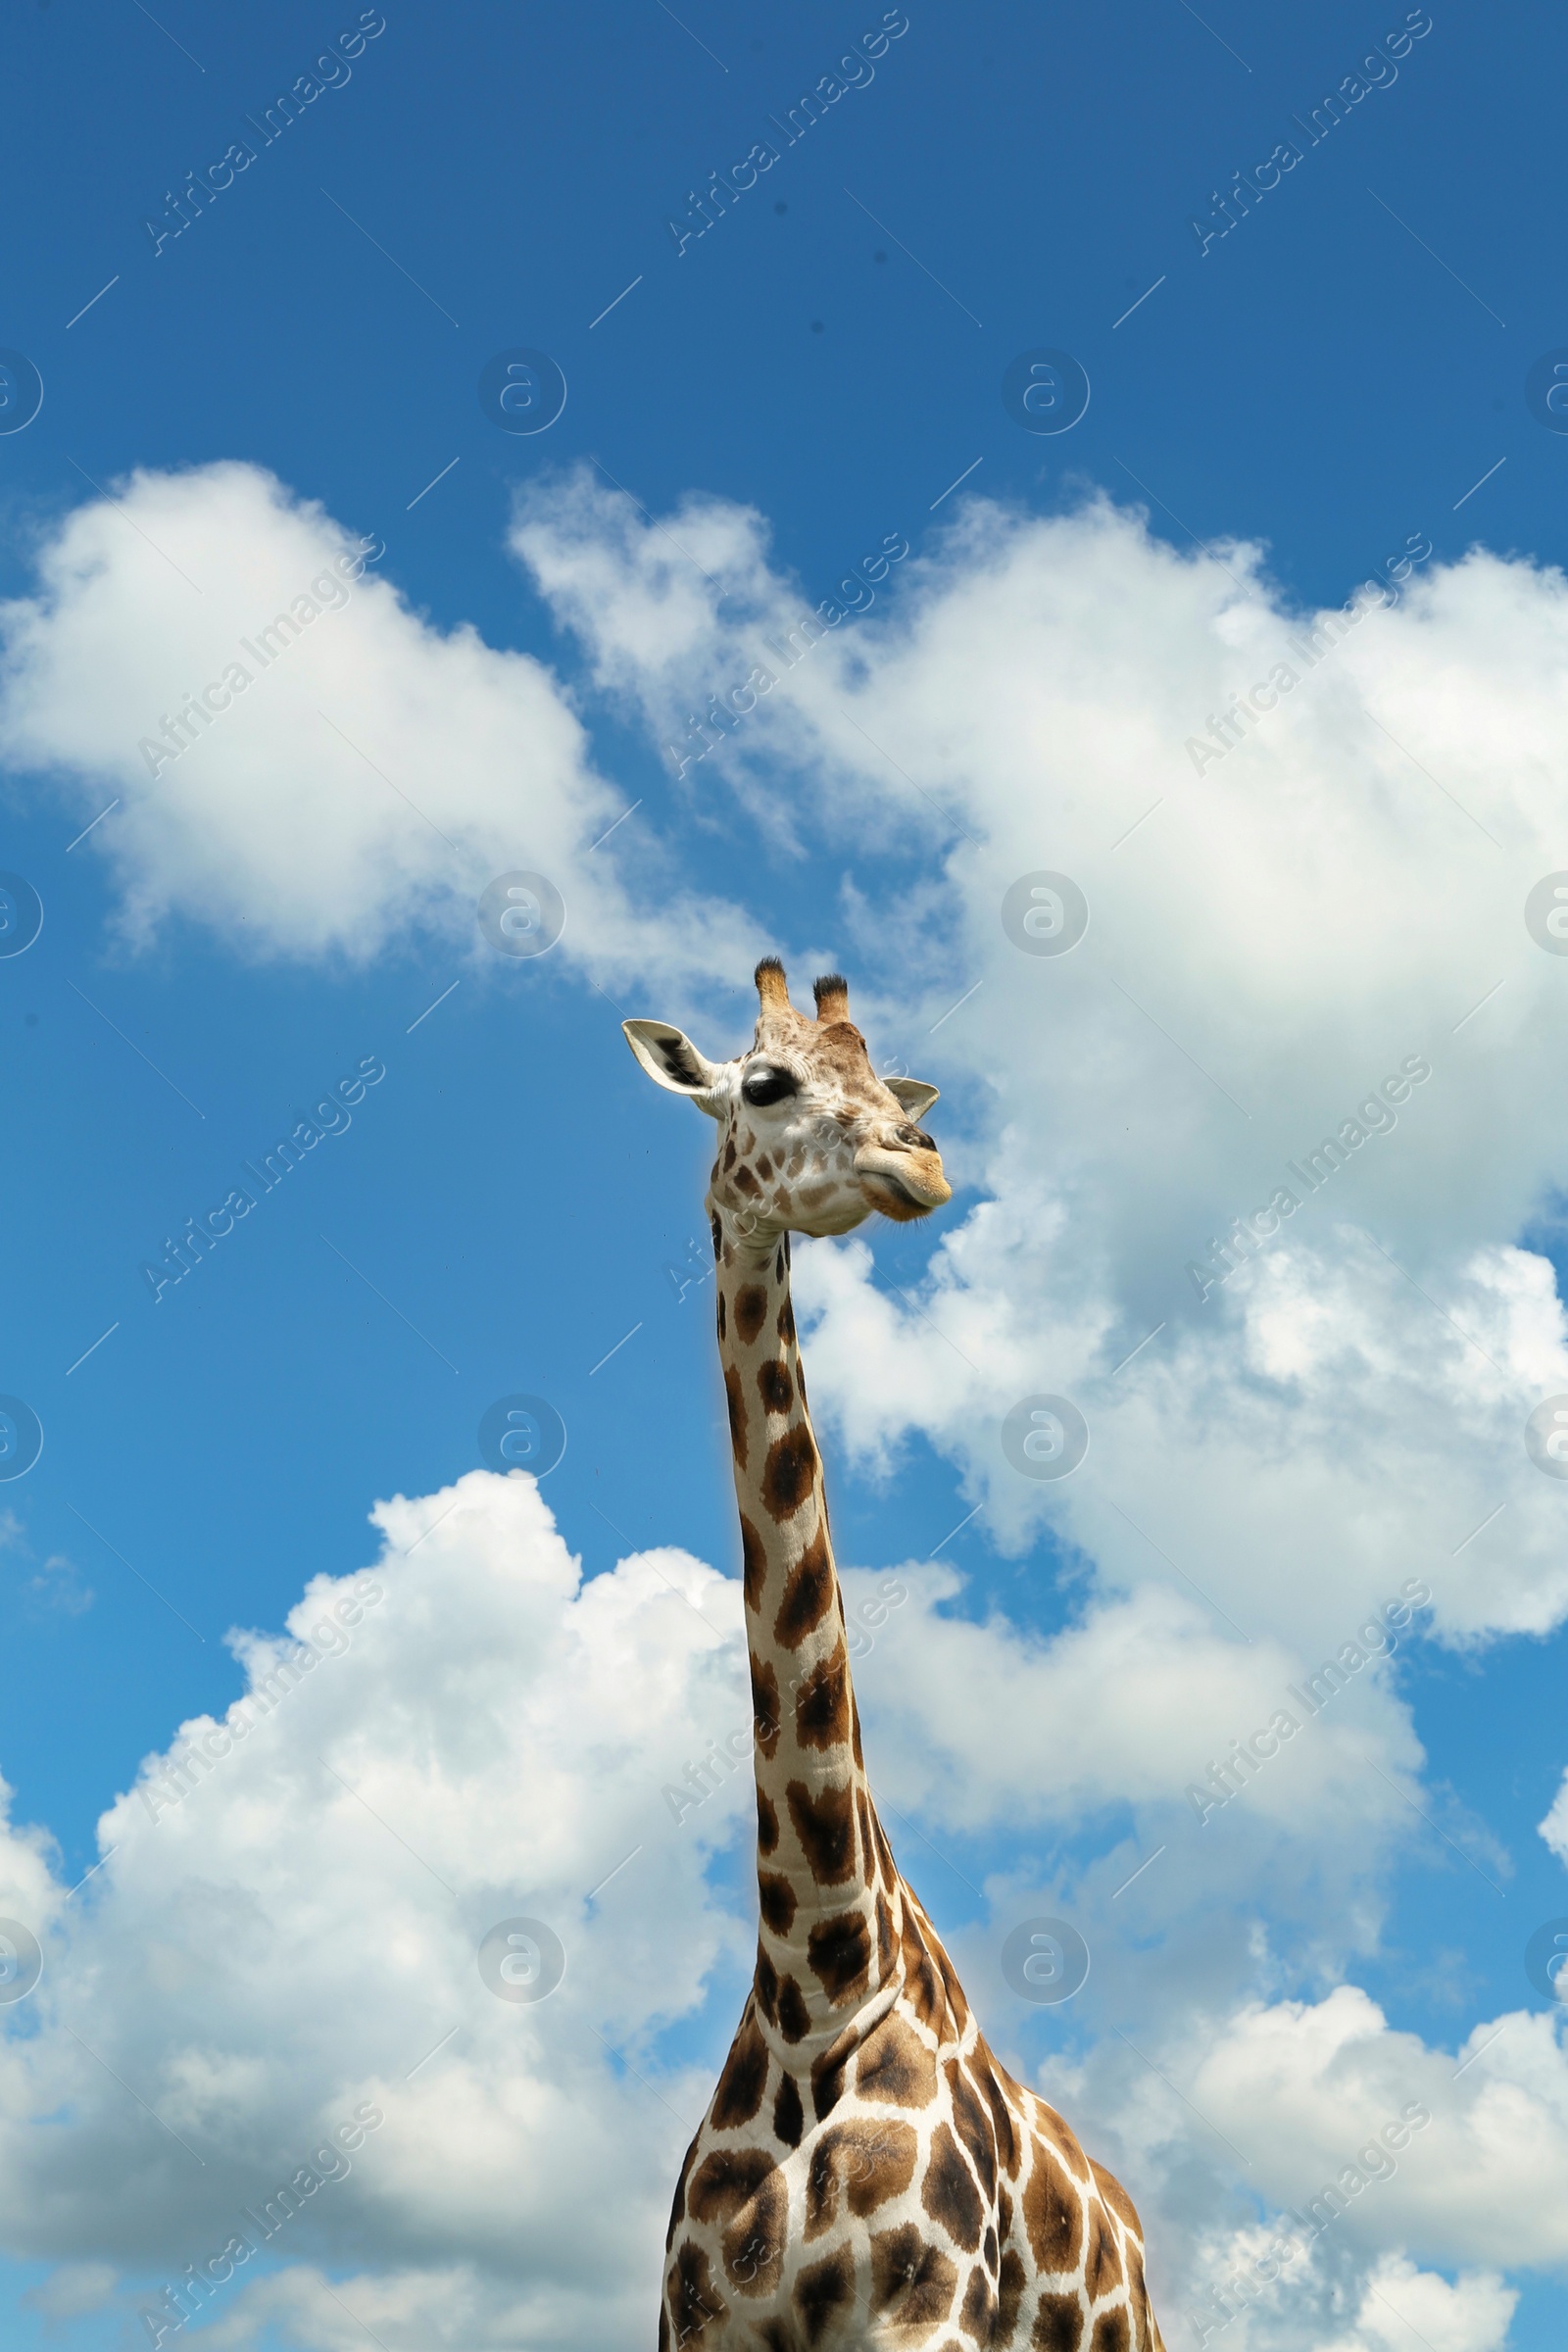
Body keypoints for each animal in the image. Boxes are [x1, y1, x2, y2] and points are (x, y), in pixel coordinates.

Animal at [625, 959, 1165, 2352]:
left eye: (888, 1079)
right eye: (766, 1083)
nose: (922, 1163)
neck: (818, 1979)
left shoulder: (926, 2313)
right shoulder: (697, 2324)